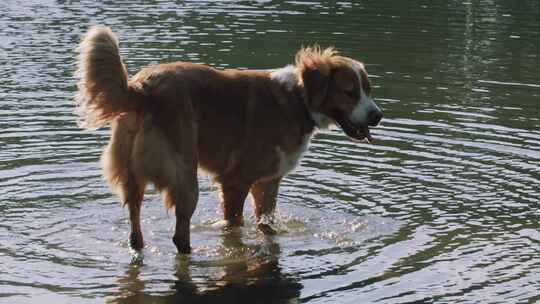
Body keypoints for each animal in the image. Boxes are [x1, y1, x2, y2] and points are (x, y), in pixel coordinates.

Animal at [75, 26, 384, 254]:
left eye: (368, 89)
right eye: (349, 92)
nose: (378, 116)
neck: (298, 98)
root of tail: (141, 88)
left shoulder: (267, 182)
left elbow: (265, 224)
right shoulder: (237, 181)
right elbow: (235, 226)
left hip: (133, 177)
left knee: (135, 227)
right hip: (185, 177)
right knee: (180, 235)